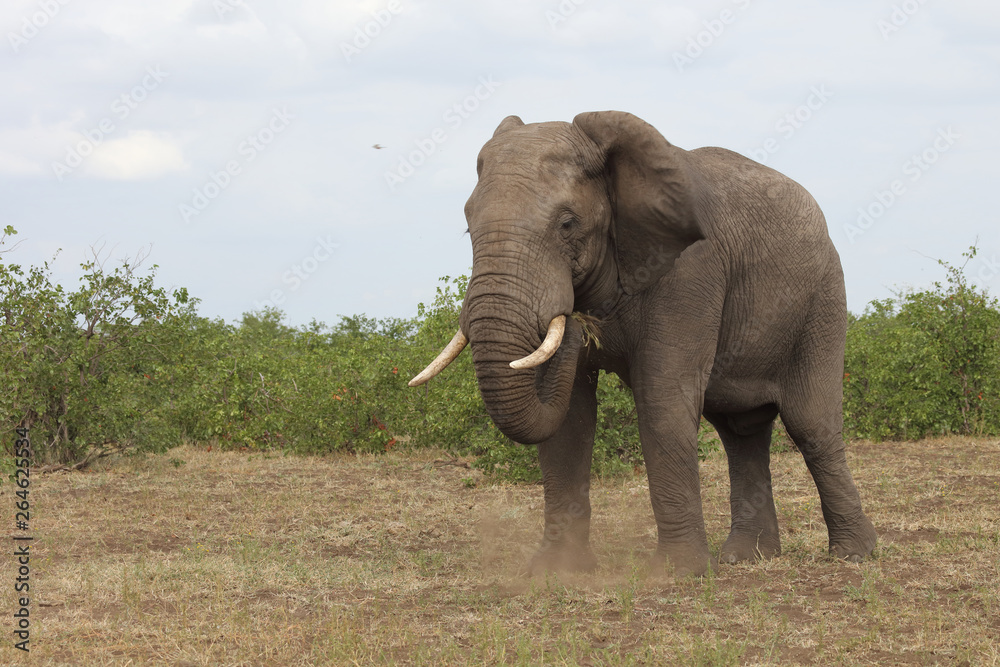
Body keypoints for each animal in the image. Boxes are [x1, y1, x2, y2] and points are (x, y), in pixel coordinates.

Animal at [409, 111, 877, 576]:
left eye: (567, 224)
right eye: (468, 225)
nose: (575, 321)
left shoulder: (690, 271)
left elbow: (662, 396)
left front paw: (677, 573)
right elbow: (570, 416)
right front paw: (556, 572)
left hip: (822, 302)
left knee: (810, 423)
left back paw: (853, 554)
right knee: (739, 430)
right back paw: (746, 557)